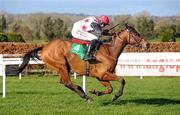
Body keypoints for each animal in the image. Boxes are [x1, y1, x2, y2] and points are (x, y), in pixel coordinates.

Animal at [7, 24, 149, 101]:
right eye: (136, 34)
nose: (147, 44)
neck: (109, 51)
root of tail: (45, 47)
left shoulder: (100, 76)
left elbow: (109, 88)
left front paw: (96, 92)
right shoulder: (103, 74)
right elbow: (122, 80)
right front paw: (116, 96)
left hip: (63, 67)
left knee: (63, 82)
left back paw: (84, 92)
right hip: (62, 65)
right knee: (67, 82)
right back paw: (85, 95)